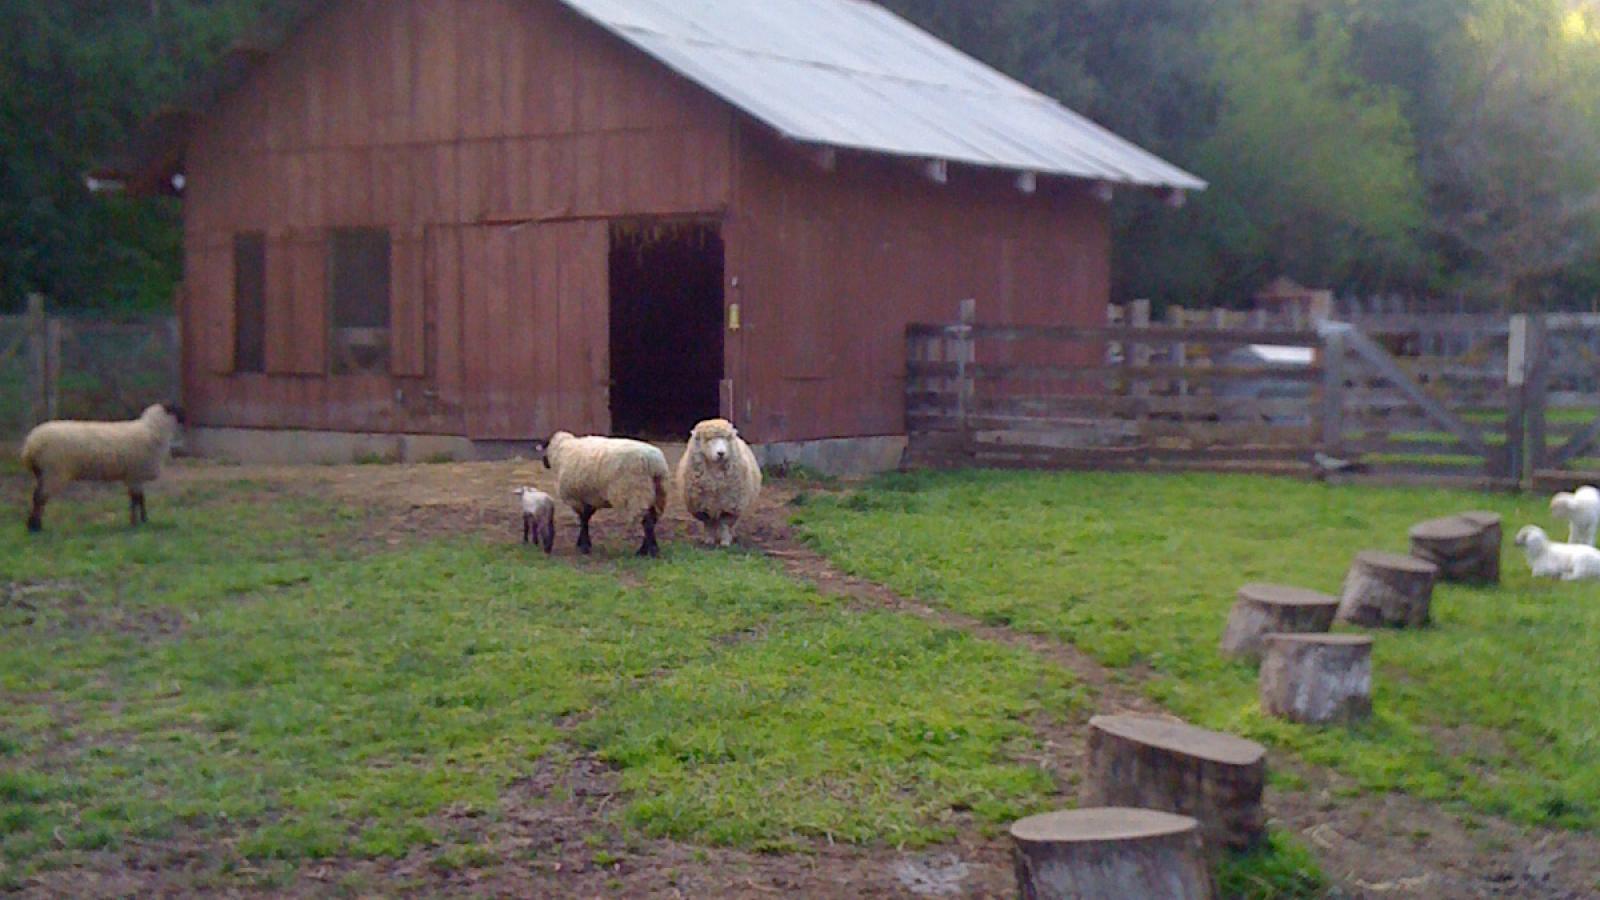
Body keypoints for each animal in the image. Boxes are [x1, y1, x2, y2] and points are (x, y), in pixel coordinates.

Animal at [20, 400, 185, 531]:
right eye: (177, 408)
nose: (188, 419)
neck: (152, 430)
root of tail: (31, 444)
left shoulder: (133, 476)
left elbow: (138, 498)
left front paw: (139, 520)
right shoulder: (135, 475)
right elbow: (137, 499)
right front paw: (139, 521)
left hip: (42, 472)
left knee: (36, 497)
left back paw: (33, 525)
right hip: (54, 472)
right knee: (40, 498)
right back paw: (35, 527)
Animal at [534, 429, 665, 554]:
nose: (544, 463)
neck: (561, 452)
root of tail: (655, 463)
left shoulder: (575, 498)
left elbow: (583, 519)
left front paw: (584, 546)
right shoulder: (590, 497)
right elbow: (586, 518)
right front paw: (582, 542)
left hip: (636, 493)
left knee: (647, 522)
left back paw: (646, 551)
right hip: (657, 493)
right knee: (653, 519)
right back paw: (651, 548)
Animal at [675, 416, 761, 547]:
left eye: (727, 438)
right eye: (708, 439)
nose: (721, 453)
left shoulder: (730, 505)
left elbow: (724, 525)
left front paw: (725, 542)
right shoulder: (702, 506)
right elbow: (709, 524)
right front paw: (709, 540)